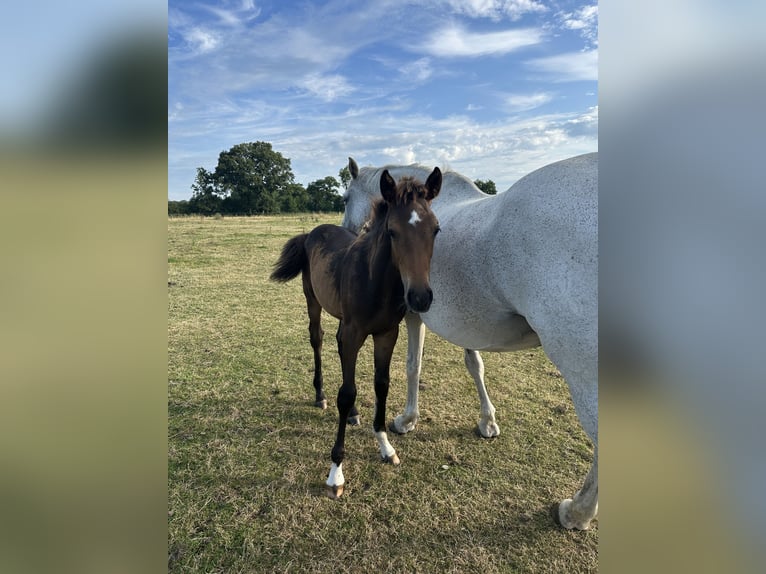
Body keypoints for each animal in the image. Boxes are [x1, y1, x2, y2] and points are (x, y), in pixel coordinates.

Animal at [270, 167, 442, 498]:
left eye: (436, 230)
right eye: (392, 231)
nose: (420, 298)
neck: (376, 281)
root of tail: (311, 232)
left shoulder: (387, 334)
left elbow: (381, 385)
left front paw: (386, 447)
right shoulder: (354, 333)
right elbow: (347, 392)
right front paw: (335, 472)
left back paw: (352, 415)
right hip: (313, 299)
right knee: (318, 339)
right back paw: (320, 395)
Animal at [340, 154, 597, 530]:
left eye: (345, 198)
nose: (347, 236)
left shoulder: (413, 313)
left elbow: (413, 366)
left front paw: (407, 420)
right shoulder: (466, 324)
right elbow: (475, 365)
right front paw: (487, 422)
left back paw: (576, 512)